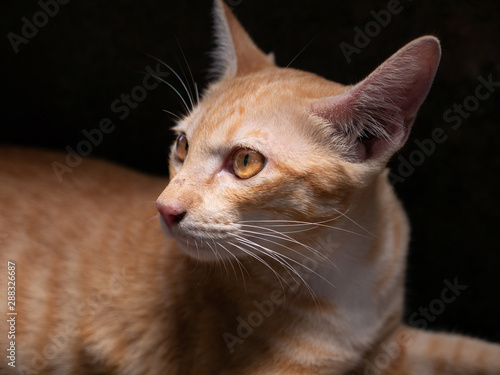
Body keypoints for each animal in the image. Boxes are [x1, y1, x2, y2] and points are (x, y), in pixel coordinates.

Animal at [0, 0, 500, 375]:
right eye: (182, 145)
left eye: (245, 162)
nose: (164, 208)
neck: (342, 266)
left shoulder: (390, 343)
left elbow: (466, 350)